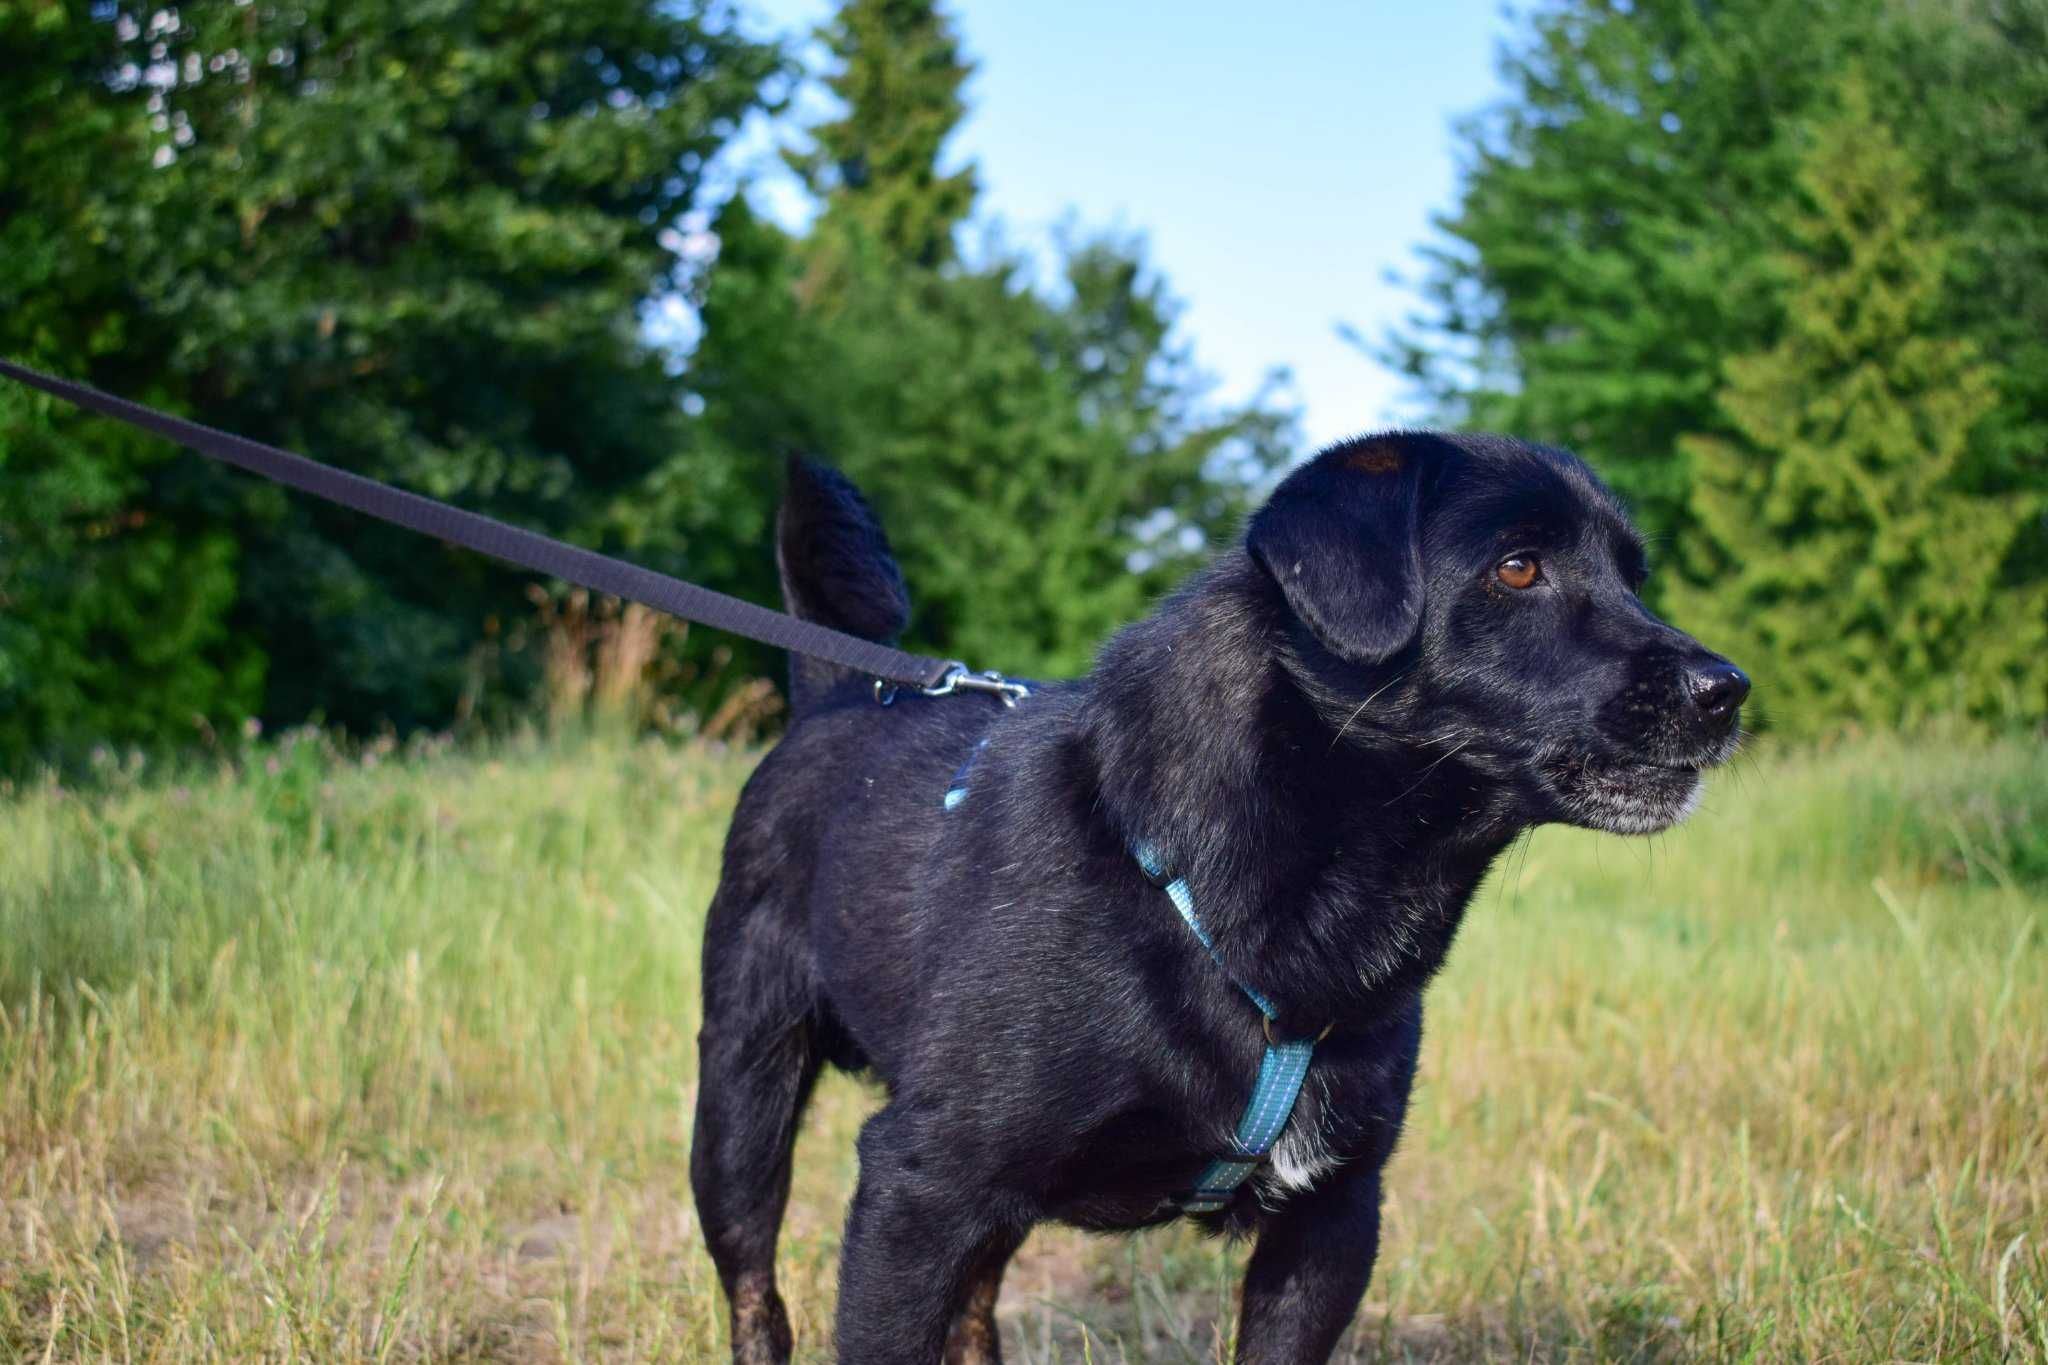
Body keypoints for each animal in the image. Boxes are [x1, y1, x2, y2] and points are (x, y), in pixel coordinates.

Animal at [688, 431, 1744, 1358]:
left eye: (1634, 576)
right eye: (1518, 568)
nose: (1726, 688)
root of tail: (836, 691)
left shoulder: (1332, 1217)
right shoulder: (917, 1187)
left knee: (975, 1309)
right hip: (742, 1113)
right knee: (758, 1296)